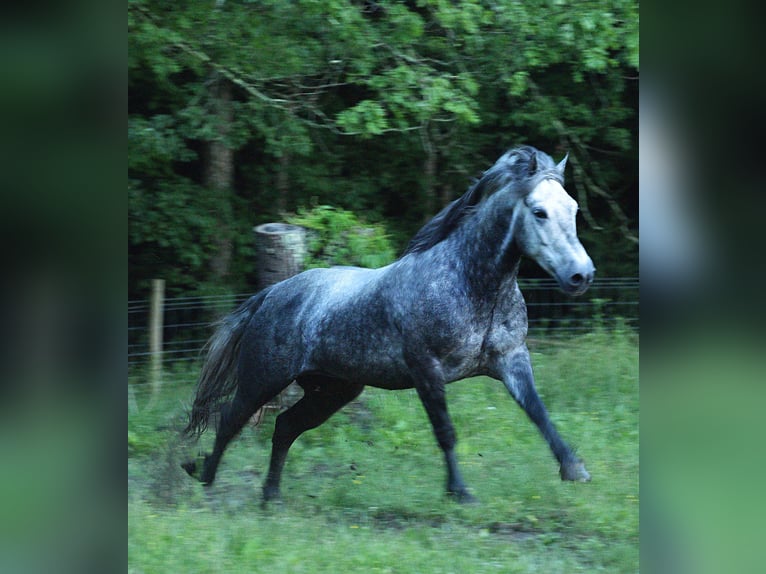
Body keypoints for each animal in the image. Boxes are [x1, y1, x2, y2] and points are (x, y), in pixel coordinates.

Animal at [183, 145, 596, 504]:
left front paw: (574, 469)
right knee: (229, 419)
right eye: (539, 212)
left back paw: (271, 497)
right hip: (263, 379)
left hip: (332, 391)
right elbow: (445, 431)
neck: (469, 282)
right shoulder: (426, 369)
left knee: (284, 427)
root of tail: (270, 295)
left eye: (574, 208)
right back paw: (204, 479)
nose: (581, 275)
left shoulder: (511, 359)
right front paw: (460, 493)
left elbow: (539, 413)